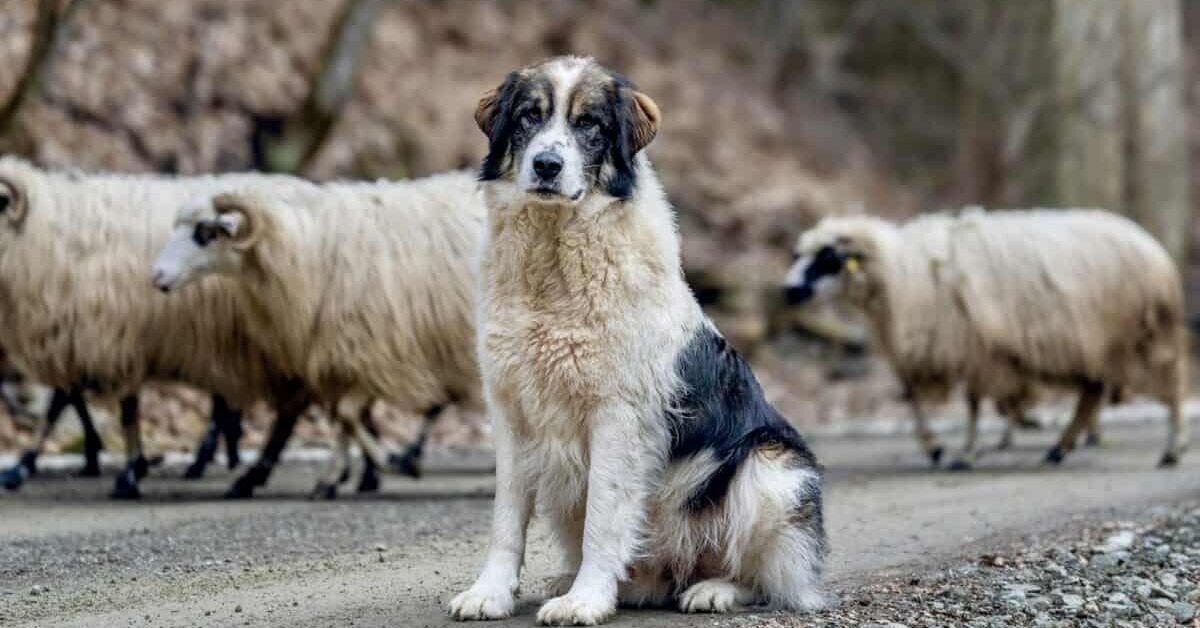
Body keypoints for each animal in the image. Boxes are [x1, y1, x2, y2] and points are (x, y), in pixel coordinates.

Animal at [0, 158, 319, 501]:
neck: (44, 231)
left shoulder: (109, 335)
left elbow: (95, 406)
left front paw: (126, 473)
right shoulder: (83, 336)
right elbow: (66, 401)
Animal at [152, 170, 484, 497]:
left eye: (206, 233)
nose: (156, 276)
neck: (307, 249)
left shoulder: (373, 352)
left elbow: (347, 414)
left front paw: (393, 463)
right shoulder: (344, 354)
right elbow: (344, 417)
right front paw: (336, 478)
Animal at [451, 56, 825, 624]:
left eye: (589, 123)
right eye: (528, 116)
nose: (546, 165)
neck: (553, 259)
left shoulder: (618, 417)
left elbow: (603, 519)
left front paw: (584, 601)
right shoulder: (511, 413)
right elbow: (505, 519)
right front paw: (490, 594)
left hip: (769, 469)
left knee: (768, 577)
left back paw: (713, 590)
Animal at [782, 208, 1185, 468]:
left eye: (828, 257)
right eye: (799, 254)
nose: (788, 290)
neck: (902, 274)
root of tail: (1154, 248)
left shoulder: (973, 345)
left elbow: (973, 403)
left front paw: (964, 452)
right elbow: (914, 399)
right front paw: (935, 448)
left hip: (1144, 336)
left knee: (1171, 388)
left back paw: (1172, 449)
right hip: (1100, 345)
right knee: (1091, 394)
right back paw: (1059, 448)